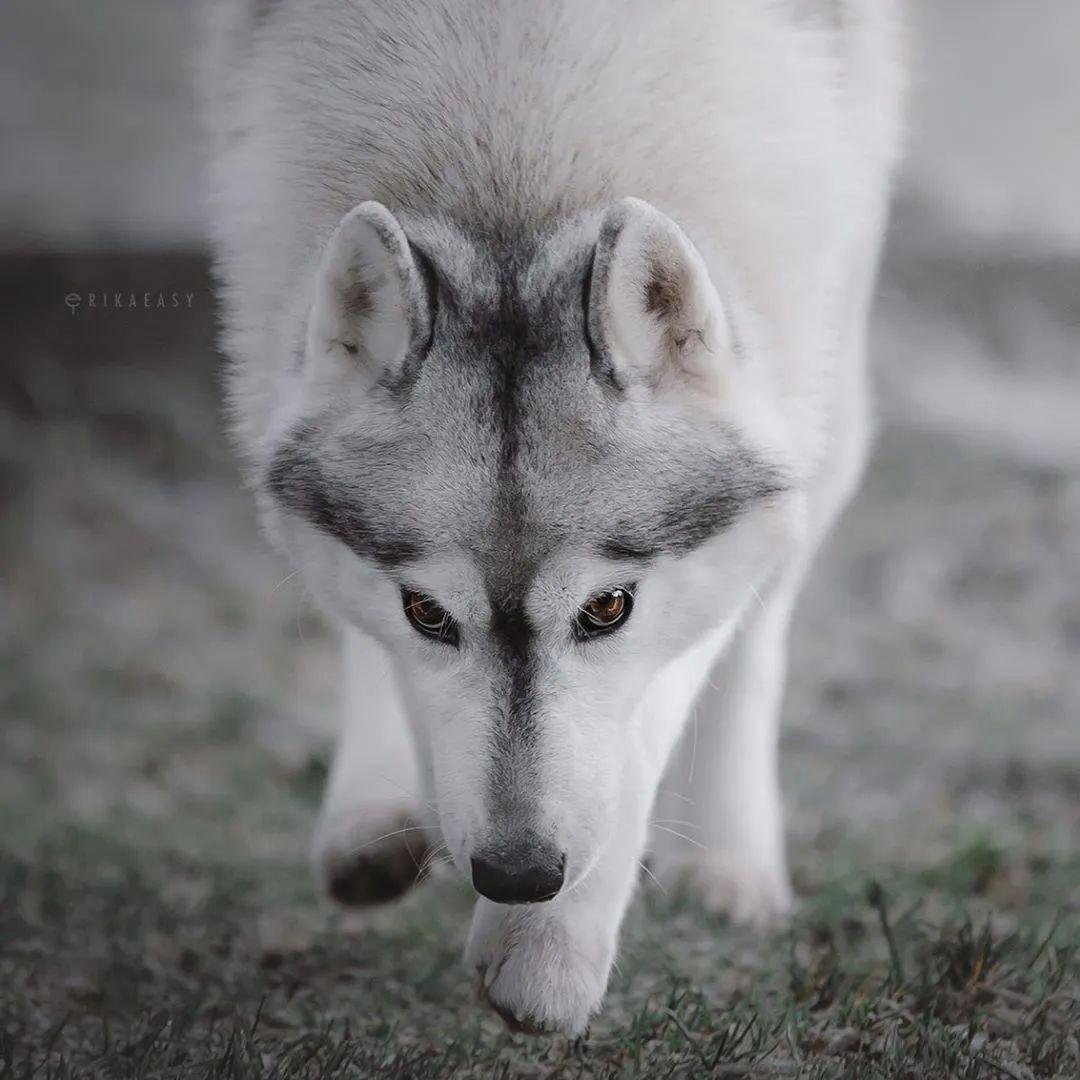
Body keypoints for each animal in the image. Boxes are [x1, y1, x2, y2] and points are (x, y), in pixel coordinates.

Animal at [204, 0, 902, 1028]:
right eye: (427, 612)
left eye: (607, 608)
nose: (518, 875)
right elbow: (383, 646)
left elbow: (646, 726)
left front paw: (545, 952)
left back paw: (730, 862)